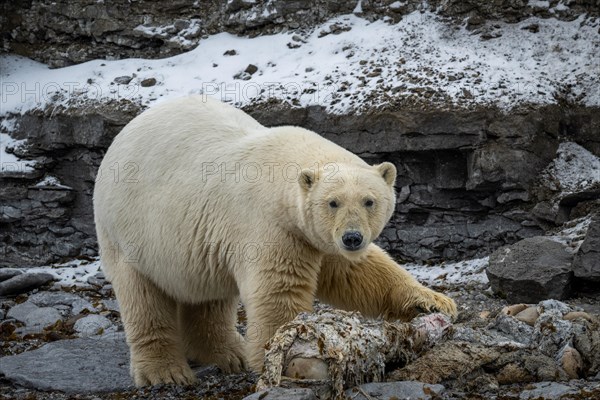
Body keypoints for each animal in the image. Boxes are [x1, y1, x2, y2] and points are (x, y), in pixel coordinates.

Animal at [94, 95, 458, 386]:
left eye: (369, 201)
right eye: (333, 202)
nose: (353, 237)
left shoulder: (316, 236)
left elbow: (358, 274)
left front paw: (432, 302)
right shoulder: (270, 225)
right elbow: (279, 291)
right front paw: (295, 359)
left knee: (208, 295)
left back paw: (228, 354)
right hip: (127, 231)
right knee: (142, 297)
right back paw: (166, 372)